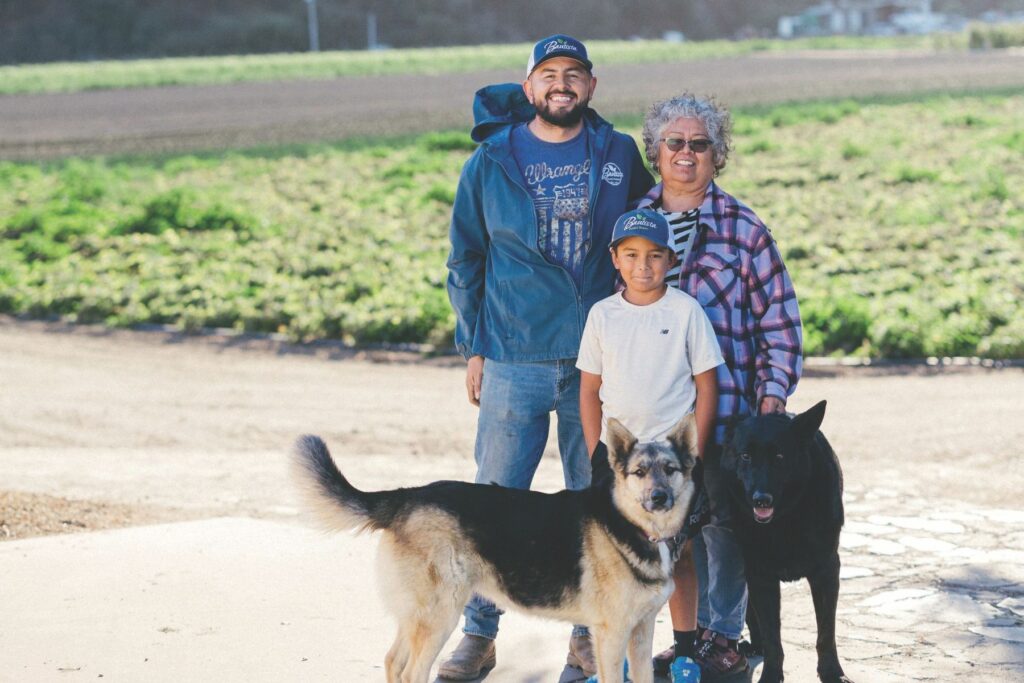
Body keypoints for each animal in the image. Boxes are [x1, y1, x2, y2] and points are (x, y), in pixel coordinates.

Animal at [290, 417, 704, 683]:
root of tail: (408, 495)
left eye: (670, 469)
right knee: (411, 671)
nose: (659, 497)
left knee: (393, 662)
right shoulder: (612, 636)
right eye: (639, 473)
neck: (635, 527)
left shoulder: (640, 634)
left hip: (421, 616)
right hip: (440, 615)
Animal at [720, 401, 856, 683]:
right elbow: (773, 637)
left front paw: (832, 672)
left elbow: (826, 633)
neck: (784, 519)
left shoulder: (827, 571)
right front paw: (771, 675)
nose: (761, 499)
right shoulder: (760, 576)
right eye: (745, 456)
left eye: (780, 457)